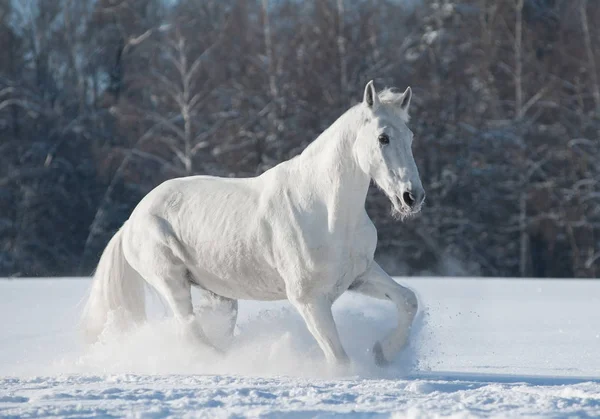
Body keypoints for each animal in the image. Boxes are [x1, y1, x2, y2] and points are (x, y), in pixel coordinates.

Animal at [82, 79, 424, 368]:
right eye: (383, 137)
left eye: (411, 137)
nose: (412, 197)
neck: (326, 212)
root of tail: (131, 221)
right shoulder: (309, 300)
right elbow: (339, 360)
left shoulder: (359, 276)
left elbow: (408, 300)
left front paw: (382, 353)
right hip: (171, 281)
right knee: (191, 332)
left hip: (218, 294)